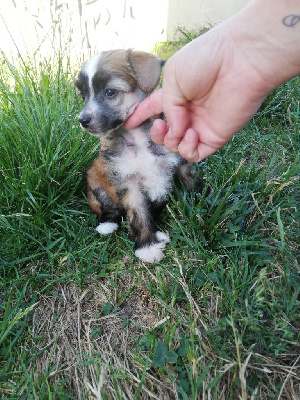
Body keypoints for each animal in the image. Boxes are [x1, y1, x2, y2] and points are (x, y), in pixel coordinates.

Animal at [75, 49, 202, 262]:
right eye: (83, 95)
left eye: (110, 92)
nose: (83, 120)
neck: (137, 137)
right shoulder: (128, 183)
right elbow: (138, 215)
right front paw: (147, 246)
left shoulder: (179, 161)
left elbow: (191, 181)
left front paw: (205, 200)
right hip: (95, 183)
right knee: (109, 208)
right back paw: (107, 224)